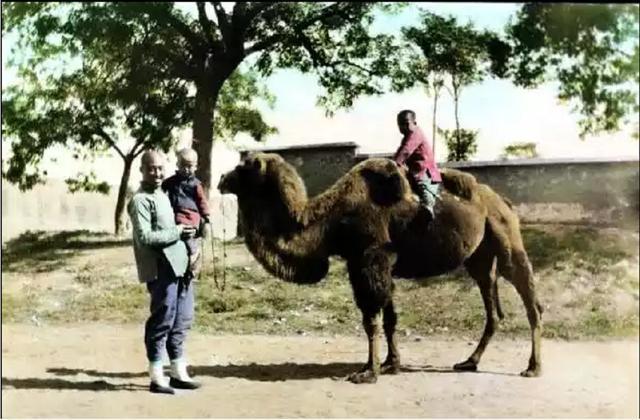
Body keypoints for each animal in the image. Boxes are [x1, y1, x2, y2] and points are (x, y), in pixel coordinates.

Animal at [218, 154, 544, 384]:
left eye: (243, 166)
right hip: (479, 257)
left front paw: (368, 372)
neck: (331, 221)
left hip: (506, 240)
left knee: (530, 300)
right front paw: (390, 364)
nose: (221, 178)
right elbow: (389, 319)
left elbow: (371, 320)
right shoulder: (365, 264)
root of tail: (503, 202)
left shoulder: (372, 258)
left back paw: (533, 367)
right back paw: (469, 362)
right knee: (493, 307)